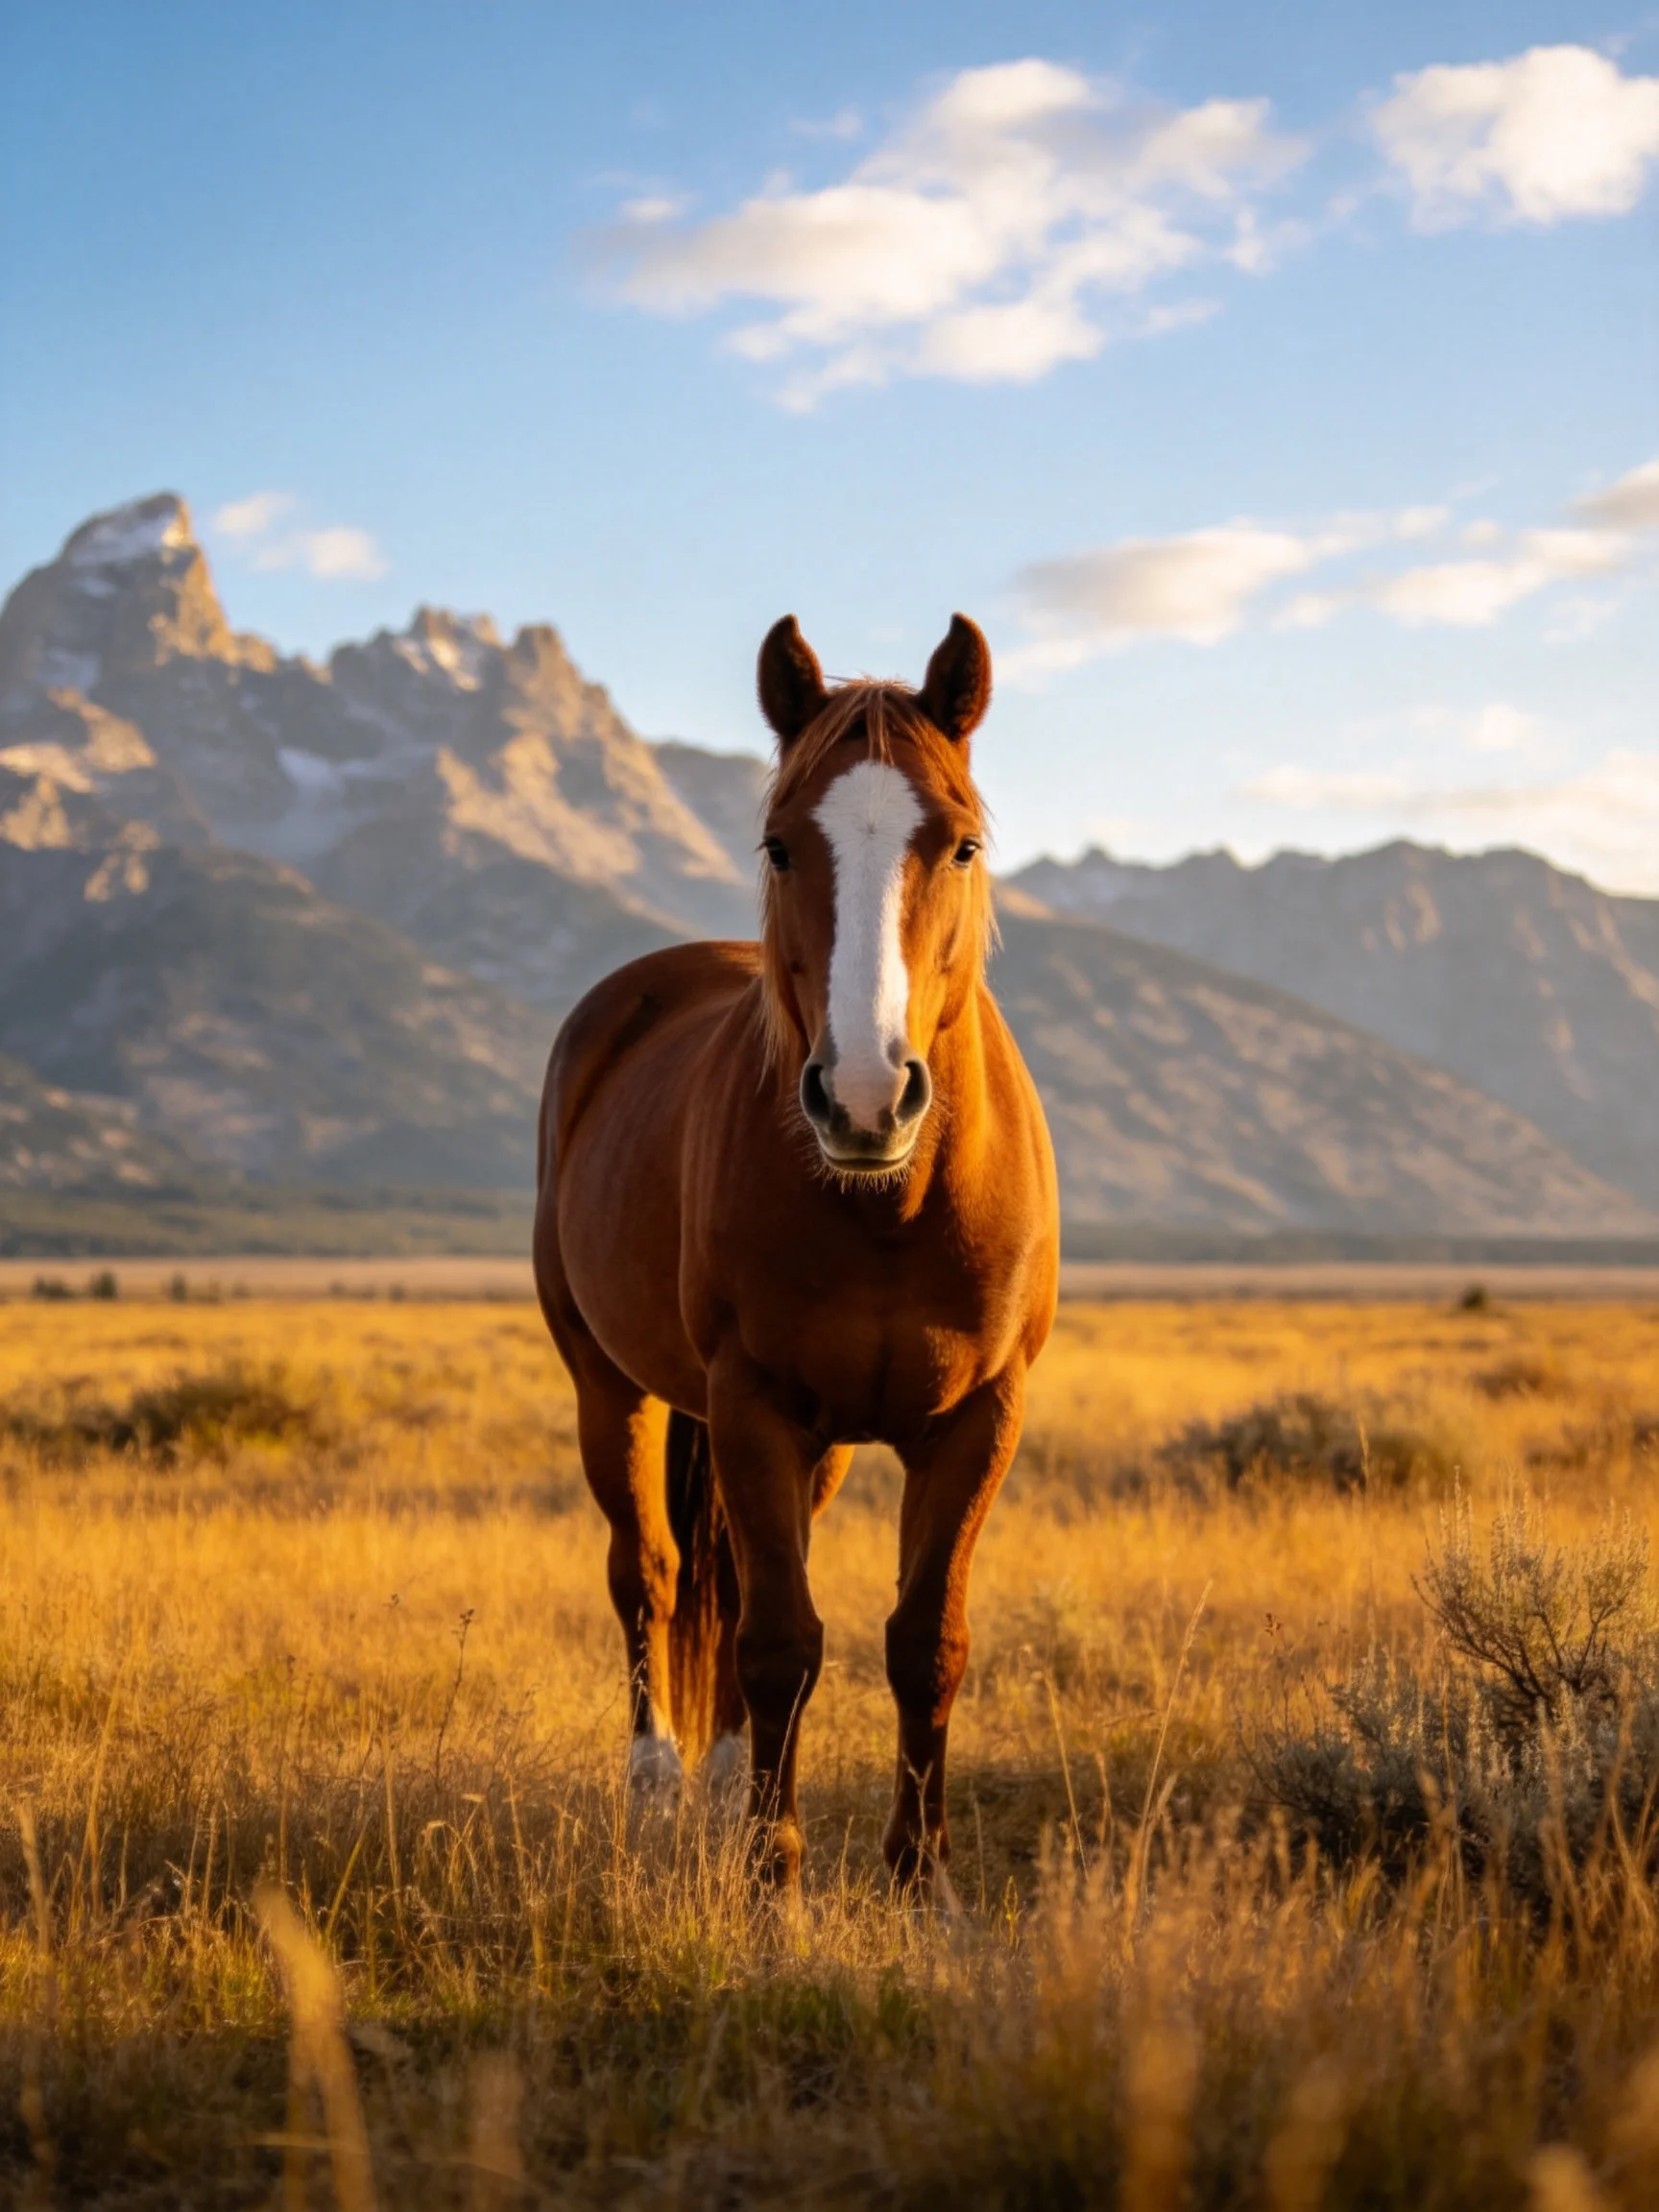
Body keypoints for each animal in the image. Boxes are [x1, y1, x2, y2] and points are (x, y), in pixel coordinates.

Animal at [533, 612, 1058, 1891]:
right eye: (779, 846)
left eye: (961, 844)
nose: (865, 1096)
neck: (887, 1209)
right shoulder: (755, 1401)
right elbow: (778, 1639)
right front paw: (772, 1872)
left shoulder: (980, 1416)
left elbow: (924, 1642)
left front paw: (918, 1875)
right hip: (608, 1385)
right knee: (653, 1574)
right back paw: (665, 1788)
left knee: (723, 1580)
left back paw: (726, 1780)